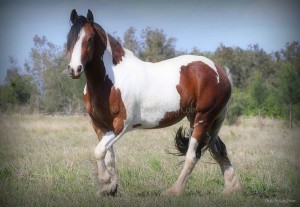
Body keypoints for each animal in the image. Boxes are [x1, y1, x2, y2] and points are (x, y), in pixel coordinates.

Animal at [66, 9, 241, 196]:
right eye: (70, 37)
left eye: (90, 38)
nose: (74, 69)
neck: (111, 81)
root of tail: (220, 72)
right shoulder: (100, 126)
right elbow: (108, 156)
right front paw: (110, 188)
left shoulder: (121, 125)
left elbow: (99, 151)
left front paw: (106, 182)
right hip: (198, 120)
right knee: (218, 149)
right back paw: (231, 188)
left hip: (203, 118)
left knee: (192, 156)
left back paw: (174, 191)